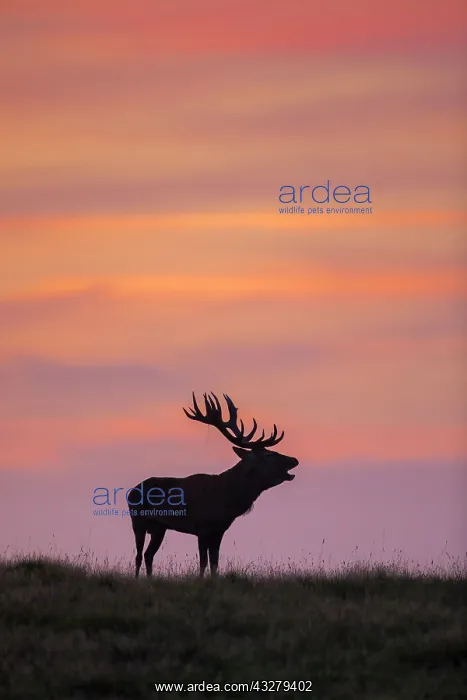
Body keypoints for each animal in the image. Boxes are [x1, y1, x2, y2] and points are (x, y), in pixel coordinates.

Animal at [128, 392, 299, 577]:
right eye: (269, 455)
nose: (294, 460)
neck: (225, 499)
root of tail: (131, 491)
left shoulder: (219, 531)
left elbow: (214, 563)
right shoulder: (202, 527)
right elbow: (203, 563)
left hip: (159, 527)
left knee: (148, 554)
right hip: (138, 520)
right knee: (138, 555)